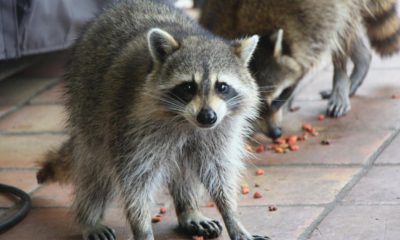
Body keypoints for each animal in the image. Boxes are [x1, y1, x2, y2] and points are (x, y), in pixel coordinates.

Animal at [36, 0, 270, 240]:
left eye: (222, 86)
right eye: (188, 87)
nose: (207, 116)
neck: (186, 122)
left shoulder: (219, 131)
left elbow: (218, 171)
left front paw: (232, 217)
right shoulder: (129, 126)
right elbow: (135, 179)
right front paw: (142, 228)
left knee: (185, 168)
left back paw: (188, 209)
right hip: (87, 109)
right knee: (94, 171)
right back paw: (89, 218)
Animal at [200, 0, 400, 139]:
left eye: (278, 98)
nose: (275, 133)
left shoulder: (313, 20)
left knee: (343, 29)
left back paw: (343, 79)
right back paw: (362, 59)